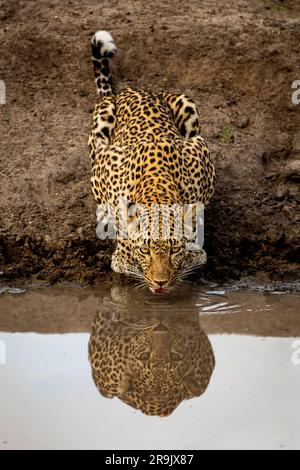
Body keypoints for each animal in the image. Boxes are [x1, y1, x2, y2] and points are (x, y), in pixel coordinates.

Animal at [89, 31, 216, 292]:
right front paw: (123, 254)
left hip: (187, 105)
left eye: (174, 250)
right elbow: (120, 221)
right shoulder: (106, 163)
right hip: (101, 122)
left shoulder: (200, 152)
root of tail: (129, 91)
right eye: (145, 250)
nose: (160, 284)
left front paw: (194, 251)